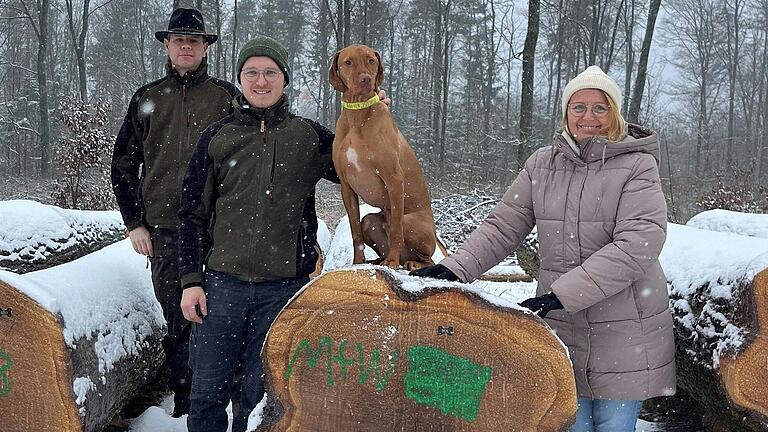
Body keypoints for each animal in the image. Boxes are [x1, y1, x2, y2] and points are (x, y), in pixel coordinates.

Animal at [328, 43, 438, 266]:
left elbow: (395, 229)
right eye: (348, 62)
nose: (366, 79)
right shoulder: (346, 185)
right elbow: (354, 230)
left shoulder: (394, 179)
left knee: (427, 258)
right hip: (370, 220)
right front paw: (358, 263)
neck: (357, 116)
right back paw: (379, 260)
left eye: (371, 60)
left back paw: (405, 262)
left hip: (409, 220)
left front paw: (392, 263)